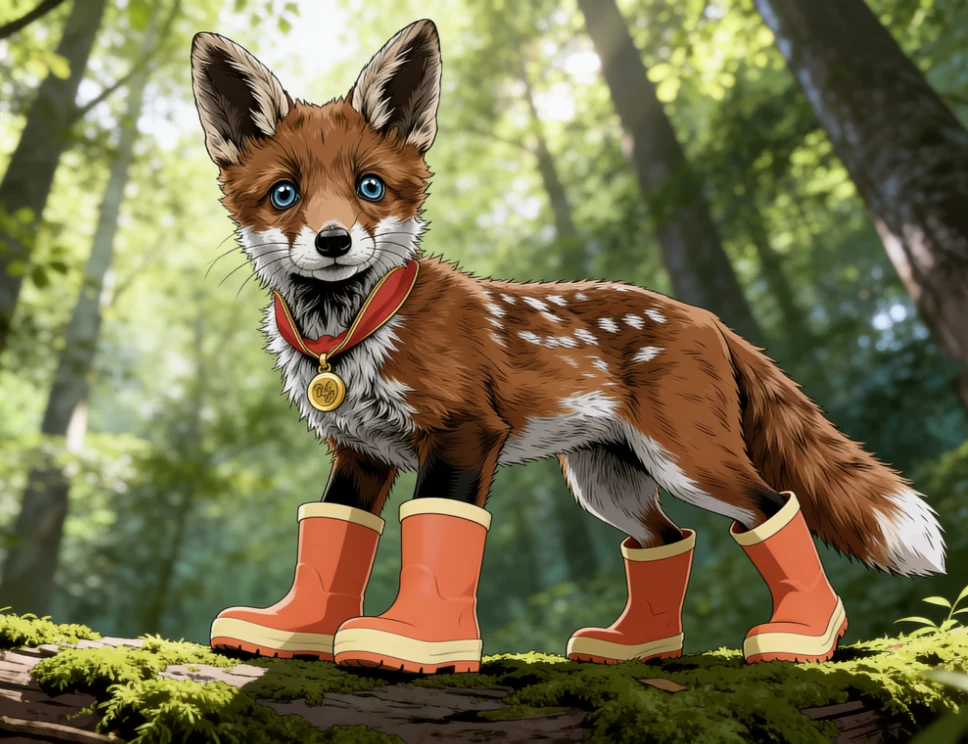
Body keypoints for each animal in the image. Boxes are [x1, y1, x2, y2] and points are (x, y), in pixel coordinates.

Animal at [190, 19, 946, 674]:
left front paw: (413, 641)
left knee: (771, 507)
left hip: (689, 462)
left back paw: (806, 633)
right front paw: (296, 630)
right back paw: (638, 647)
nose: (334, 241)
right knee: (666, 542)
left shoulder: (465, 433)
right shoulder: (360, 454)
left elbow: (442, 528)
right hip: (607, 483)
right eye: (285, 195)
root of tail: (705, 316)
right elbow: (333, 538)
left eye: (369, 187)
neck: (358, 332)